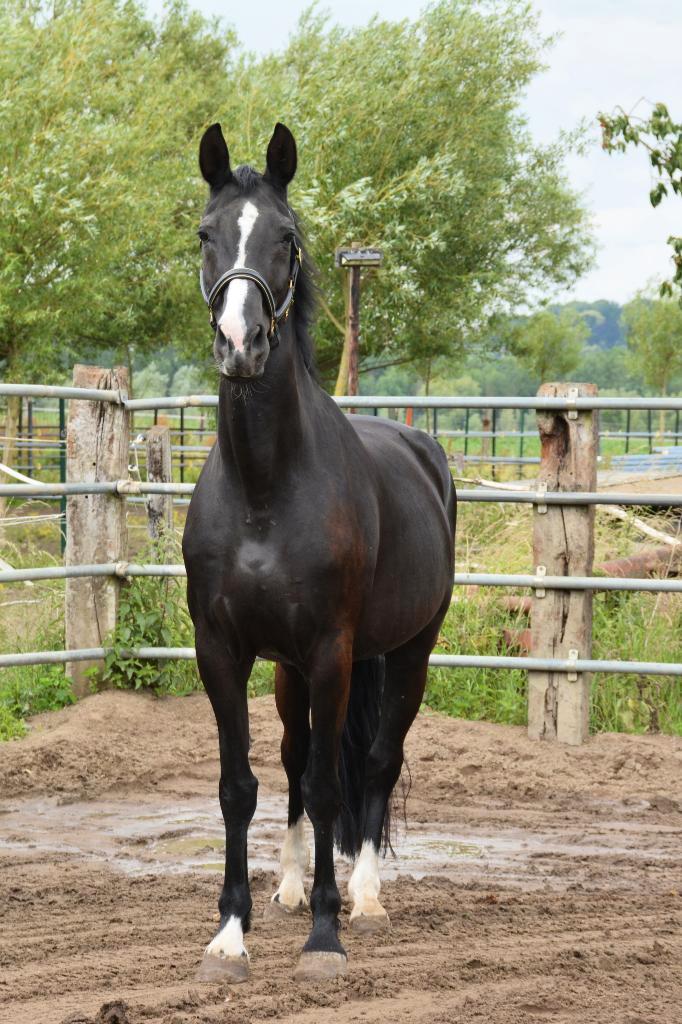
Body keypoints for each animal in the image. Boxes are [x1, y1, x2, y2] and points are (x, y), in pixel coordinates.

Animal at [182, 121, 456, 984]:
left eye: (287, 237)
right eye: (206, 234)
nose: (240, 342)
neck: (266, 489)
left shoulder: (335, 651)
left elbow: (337, 785)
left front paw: (326, 939)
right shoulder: (225, 651)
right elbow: (243, 785)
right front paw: (231, 932)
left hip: (407, 653)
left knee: (373, 763)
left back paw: (362, 899)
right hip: (291, 673)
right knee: (297, 759)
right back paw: (293, 886)